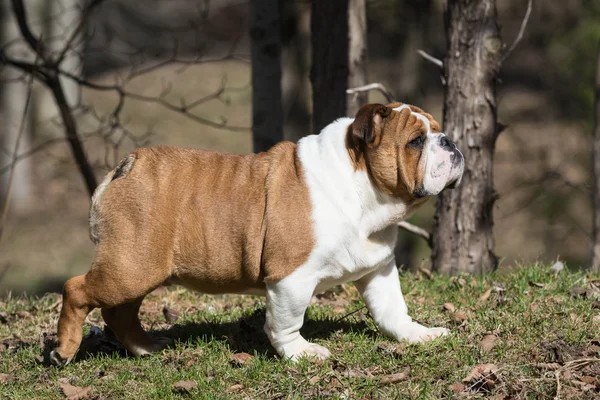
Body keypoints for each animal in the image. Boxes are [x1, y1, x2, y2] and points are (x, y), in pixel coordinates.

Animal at [50, 102, 464, 366]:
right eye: (415, 141)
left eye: (438, 132)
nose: (451, 142)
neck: (363, 189)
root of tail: (127, 165)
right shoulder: (291, 278)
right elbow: (286, 322)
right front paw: (301, 354)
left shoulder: (378, 268)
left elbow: (392, 309)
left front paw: (417, 334)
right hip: (130, 267)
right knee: (76, 290)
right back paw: (65, 350)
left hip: (140, 267)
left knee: (119, 311)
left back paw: (145, 347)